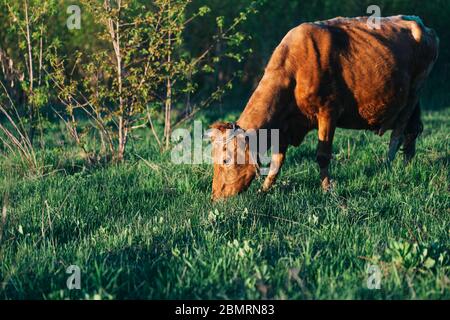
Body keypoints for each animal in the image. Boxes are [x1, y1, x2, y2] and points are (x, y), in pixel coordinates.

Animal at [211, 16, 440, 200]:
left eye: (225, 160)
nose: (216, 197)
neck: (293, 72)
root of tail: (421, 24)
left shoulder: (328, 111)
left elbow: (322, 155)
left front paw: (327, 188)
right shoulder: (284, 124)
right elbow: (277, 161)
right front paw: (264, 190)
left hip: (414, 92)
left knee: (399, 132)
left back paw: (387, 165)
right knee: (412, 131)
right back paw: (406, 165)